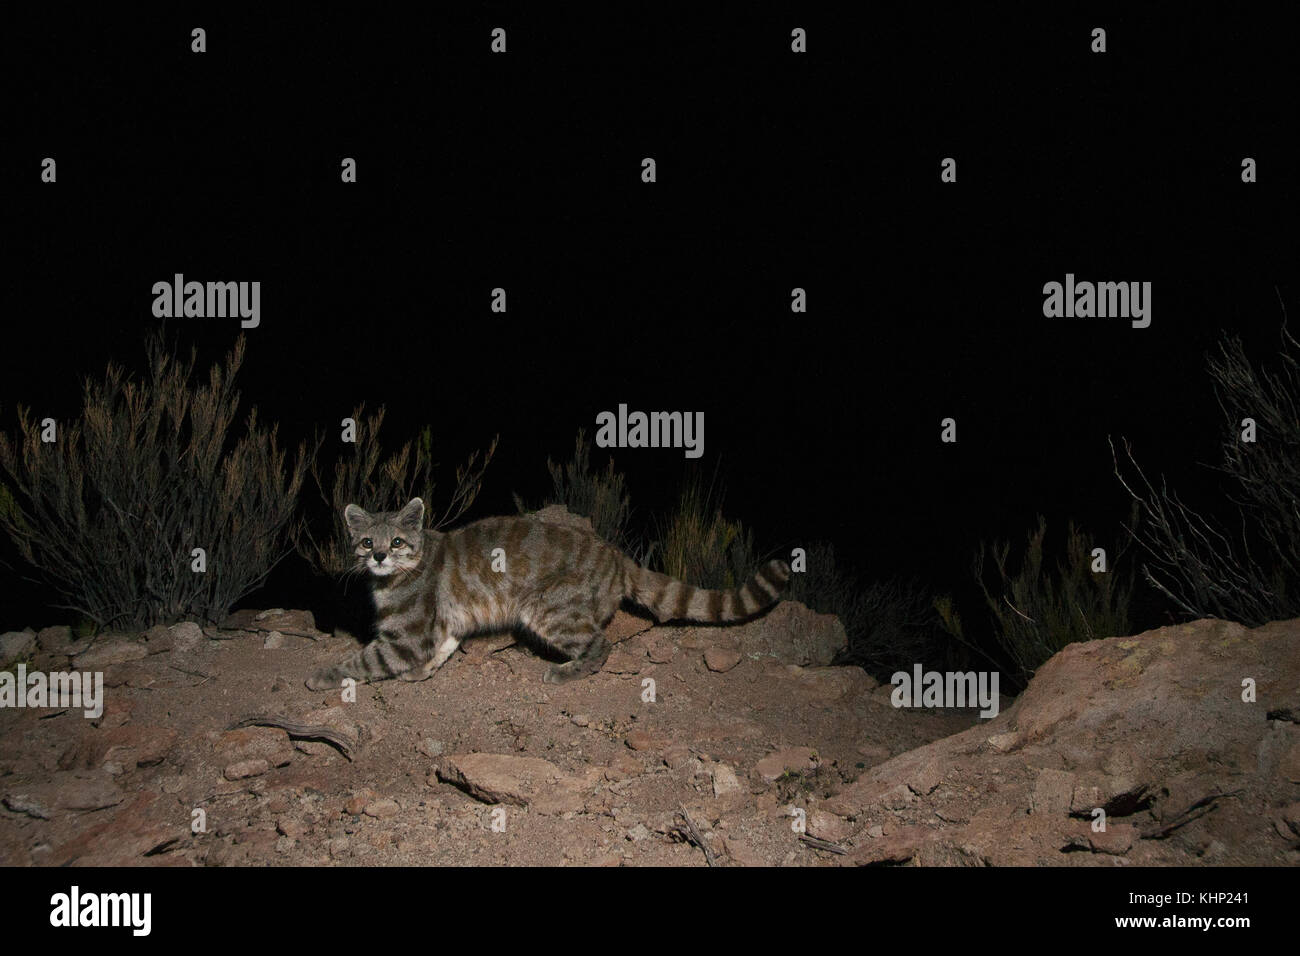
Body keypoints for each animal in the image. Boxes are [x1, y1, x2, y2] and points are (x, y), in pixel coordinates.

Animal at [304, 496, 790, 691]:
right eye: (367, 541)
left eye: (397, 542)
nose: (379, 556)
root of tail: (614, 553)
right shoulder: (443, 625)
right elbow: (443, 647)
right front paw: (424, 672)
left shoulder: (404, 637)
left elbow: (362, 661)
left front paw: (323, 675)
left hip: (549, 610)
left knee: (601, 644)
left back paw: (569, 671)